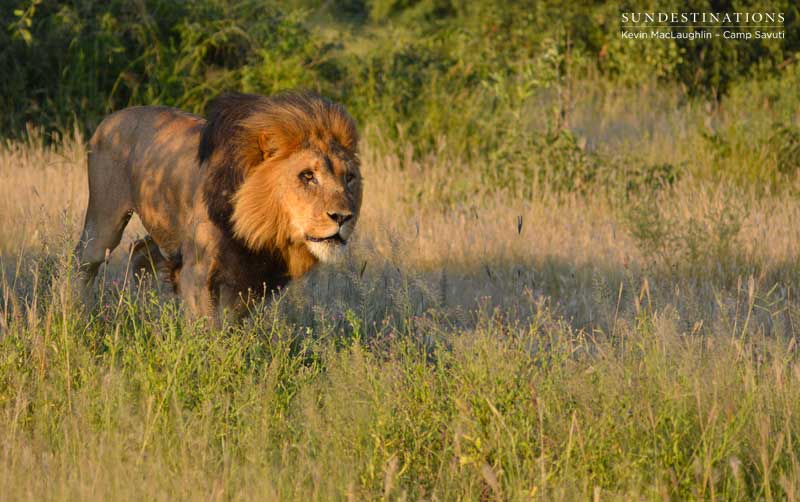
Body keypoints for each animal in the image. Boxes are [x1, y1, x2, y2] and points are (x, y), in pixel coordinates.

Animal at [75, 91, 362, 322]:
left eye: (349, 178)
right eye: (307, 176)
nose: (343, 217)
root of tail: (111, 117)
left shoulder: (248, 281)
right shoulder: (197, 272)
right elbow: (205, 329)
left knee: (140, 251)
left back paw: (146, 312)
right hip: (105, 222)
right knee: (84, 259)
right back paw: (78, 312)